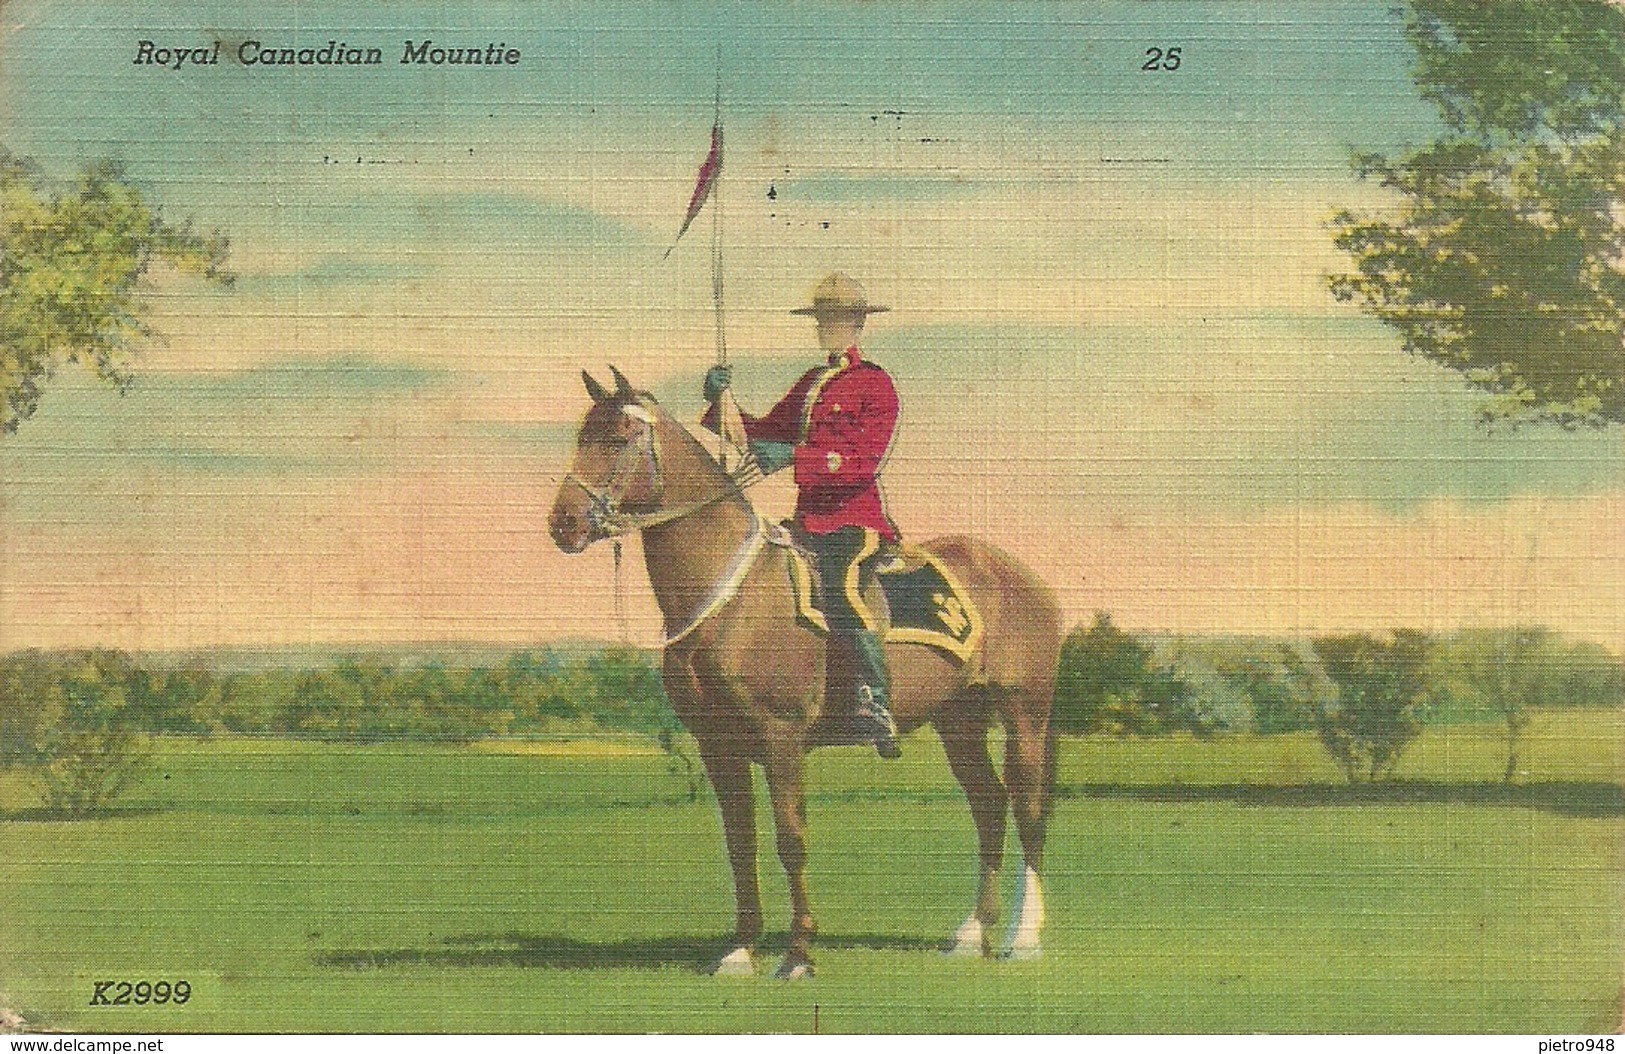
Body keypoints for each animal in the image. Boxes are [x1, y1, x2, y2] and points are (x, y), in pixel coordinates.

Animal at [549, 370, 1066, 980]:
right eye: (582, 434)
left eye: (618, 438)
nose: (563, 523)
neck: (731, 599)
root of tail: (1019, 573)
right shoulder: (718, 744)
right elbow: (740, 843)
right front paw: (741, 948)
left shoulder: (782, 737)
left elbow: (790, 838)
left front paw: (797, 953)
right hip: (958, 721)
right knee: (988, 807)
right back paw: (969, 933)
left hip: (1025, 714)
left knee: (1027, 809)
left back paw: (1022, 935)